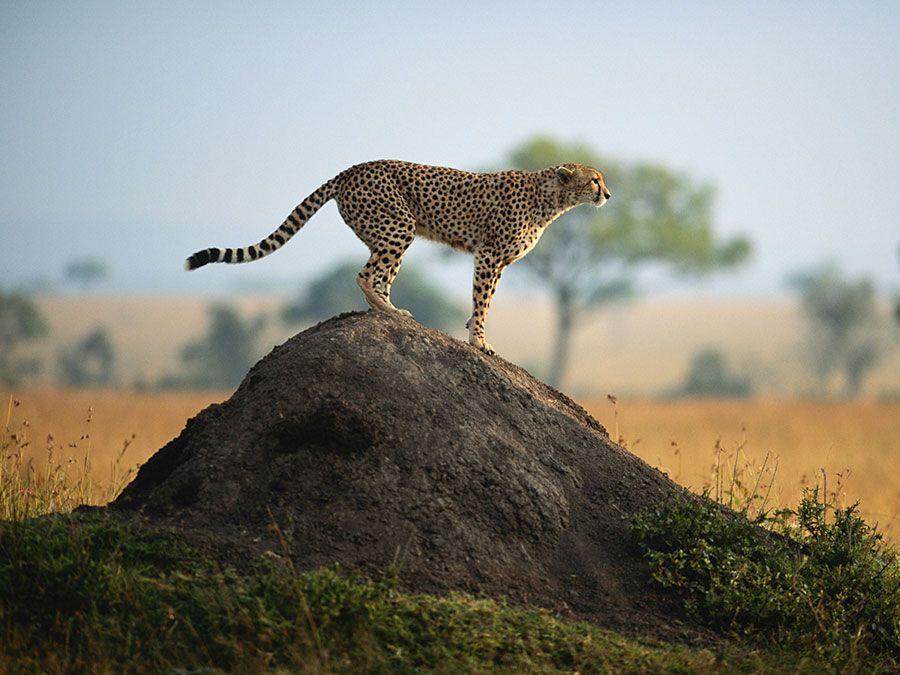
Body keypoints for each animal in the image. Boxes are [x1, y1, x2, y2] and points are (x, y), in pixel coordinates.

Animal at [185, 160, 611, 355]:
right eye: (595, 179)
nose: (608, 194)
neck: (551, 199)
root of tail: (353, 168)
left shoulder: (499, 262)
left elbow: (484, 301)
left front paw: (473, 331)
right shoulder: (489, 256)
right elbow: (483, 301)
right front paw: (479, 342)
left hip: (390, 234)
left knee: (380, 276)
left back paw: (387, 311)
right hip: (398, 227)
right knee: (365, 274)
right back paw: (388, 311)